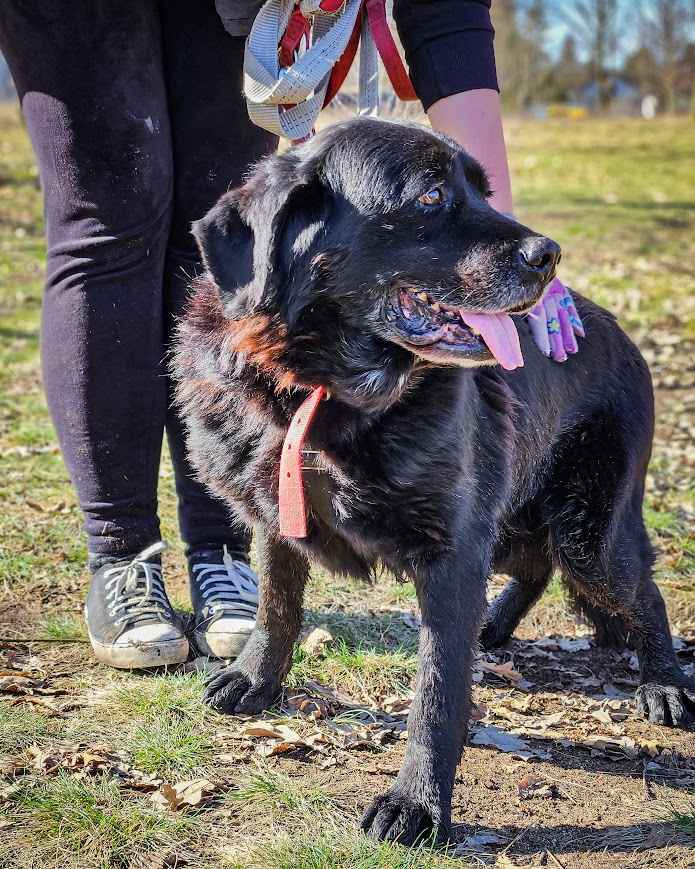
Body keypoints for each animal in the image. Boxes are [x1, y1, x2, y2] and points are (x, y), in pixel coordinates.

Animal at [170, 118, 695, 844]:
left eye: (482, 190)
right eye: (430, 195)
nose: (550, 255)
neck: (325, 389)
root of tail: (621, 331)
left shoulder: (452, 549)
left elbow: (438, 693)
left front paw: (416, 802)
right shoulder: (278, 515)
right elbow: (277, 605)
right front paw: (255, 679)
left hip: (588, 533)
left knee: (642, 593)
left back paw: (663, 683)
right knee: (533, 567)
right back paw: (493, 625)